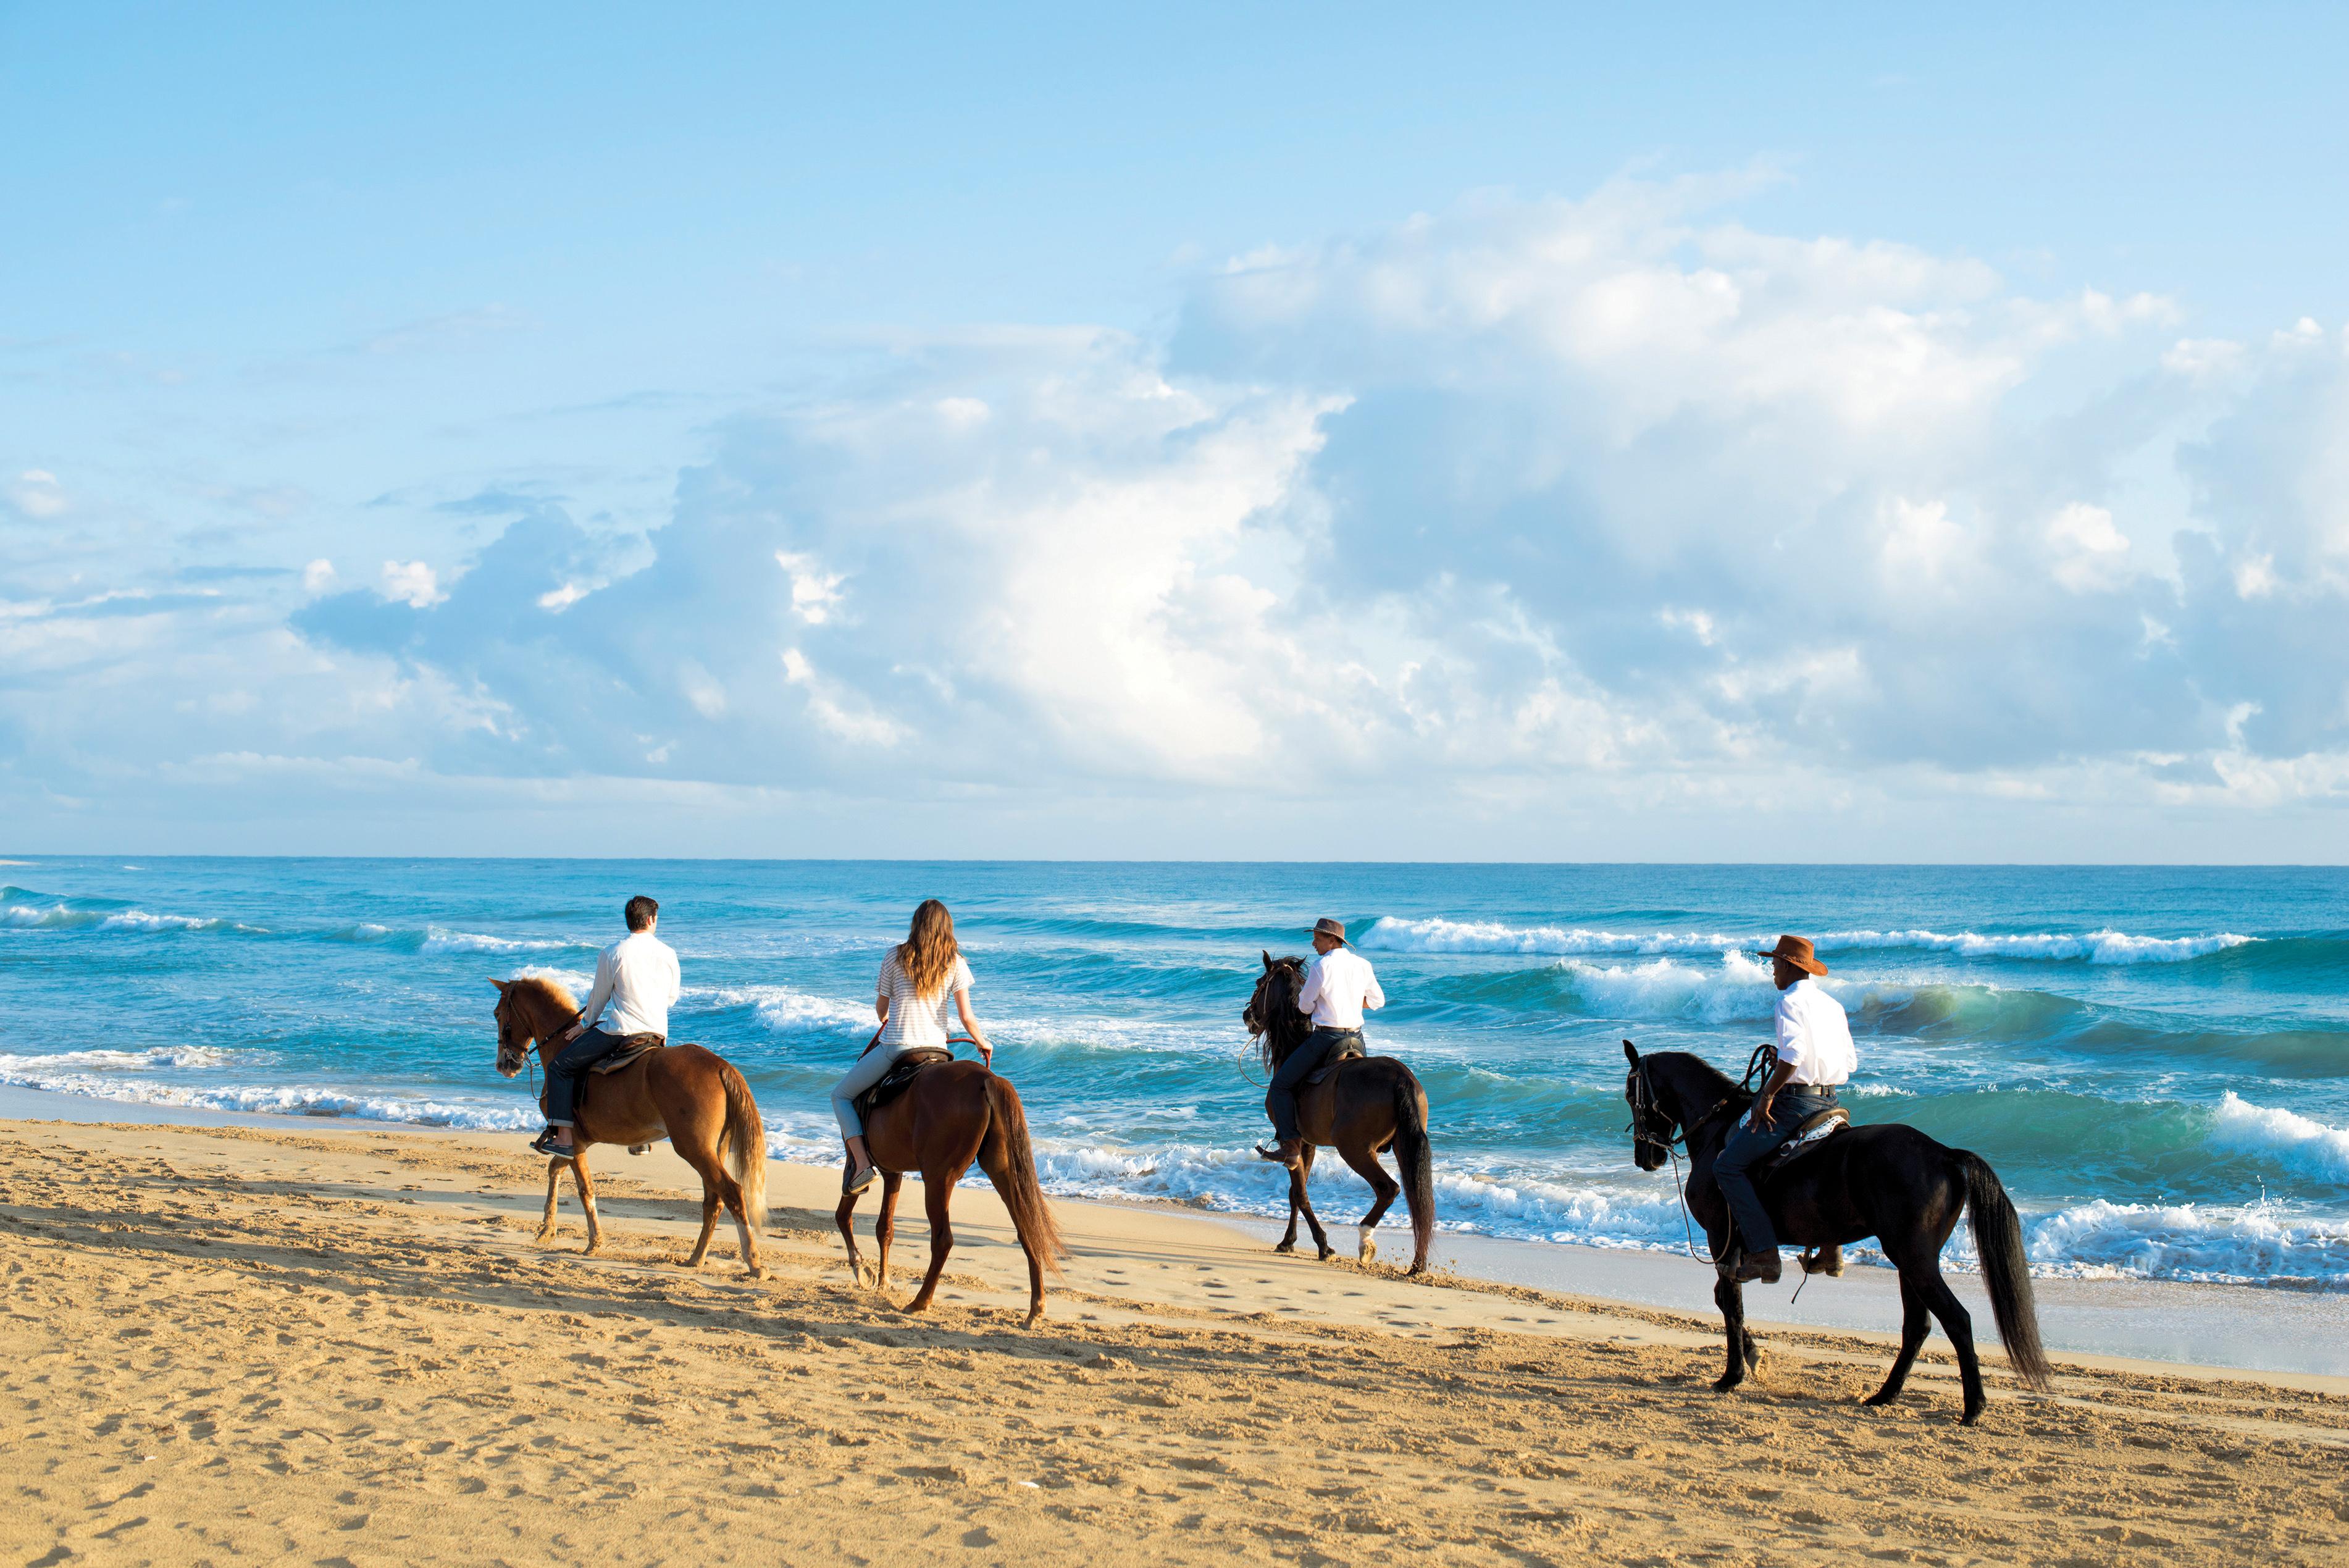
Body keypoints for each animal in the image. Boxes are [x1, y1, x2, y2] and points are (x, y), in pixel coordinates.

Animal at [493, 983, 770, 1278]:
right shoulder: (578, 1143)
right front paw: (547, 1228)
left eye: (498, 1014)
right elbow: (555, 1170)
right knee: (713, 1200)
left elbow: (585, 1189)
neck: (560, 1046)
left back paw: (753, 1261)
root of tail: (721, 1066)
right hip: (713, 1149)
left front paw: (594, 1242)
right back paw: (697, 1257)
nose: (504, 1065)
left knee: (732, 1193)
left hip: (694, 1148)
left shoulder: (574, 1141)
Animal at [836, 1053, 1066, 1325]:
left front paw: (860, 1268)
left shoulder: (856, 1163)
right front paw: (883, 1281)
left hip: (938, 1179)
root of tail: (987, 1078)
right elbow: (885, 1229)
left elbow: (844, 1216)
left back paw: (920, 1302)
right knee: (1028, 1229)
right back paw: (1036, 1307)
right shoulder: (894, 1172)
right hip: (1004, 1173)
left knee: (943, 1240)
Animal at [1240, 959, 1438, 1278]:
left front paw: (1323, 1246)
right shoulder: (1307, 1144)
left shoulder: (1292, 1142)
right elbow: (1295, 1193)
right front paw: (1288, 1242)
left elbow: (1300, 1193)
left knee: (1390, 1189)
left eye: (1260, 983)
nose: (1248, 1014)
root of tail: (1401, 1078)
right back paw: (1417, 1265)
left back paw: (1366, 1240)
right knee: (1416, 1198)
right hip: (1404, 1146)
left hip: (1355, 1149)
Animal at [1625, 1044, 2048, 1420]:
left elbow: (1731, 1304)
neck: (1717, 1132)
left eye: (1631, 1094)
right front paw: (1754, 1356)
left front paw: (1732, 1376)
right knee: (1918, 1325)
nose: (1647, 1157)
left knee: (1956, 1321)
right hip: (1911, 1262)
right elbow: (1723, 1300)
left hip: (1914, 1259)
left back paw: (1972, 1407)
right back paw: (1885, 1395)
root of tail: (1944, 1154)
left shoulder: (1721, 1239)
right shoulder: (1734, 1247)